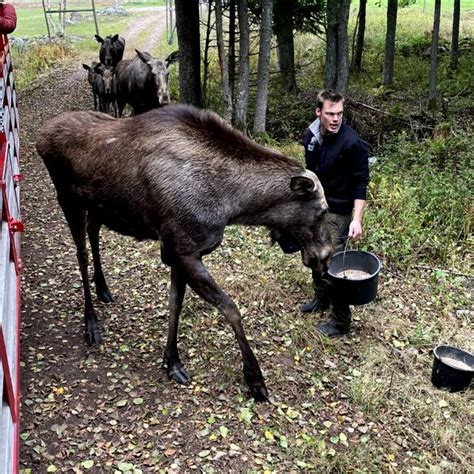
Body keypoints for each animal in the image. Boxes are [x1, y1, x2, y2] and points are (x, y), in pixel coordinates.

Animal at [36, 105, 334, 402]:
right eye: (322, 211)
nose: (325, 256)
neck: (233, 205)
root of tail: (41, 134)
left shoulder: (176, 252)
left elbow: (175, 305)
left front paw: (172, 362)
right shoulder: (184, 251)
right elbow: (231, 309)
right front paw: (254, 378)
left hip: (99, 208)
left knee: (93, 234)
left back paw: (103, 289)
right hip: (68, 201)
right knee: (81, 255)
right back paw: (90, 324)